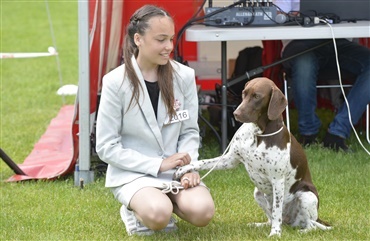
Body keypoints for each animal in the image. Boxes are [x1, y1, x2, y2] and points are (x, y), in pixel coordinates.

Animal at [174, 77, 332, 237]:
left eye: (257, 96)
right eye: (244, 93)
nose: (236, 113)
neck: (258, 134)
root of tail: (289, 222)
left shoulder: (277, 180)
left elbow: (276, 211)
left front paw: (275, 233)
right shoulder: (230, 160)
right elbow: (202, 162)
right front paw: (184, 169)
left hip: (306, 196)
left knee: (309, 224)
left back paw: (301, 231)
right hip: (258, 193)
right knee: (273, 219)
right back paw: (259, 225)